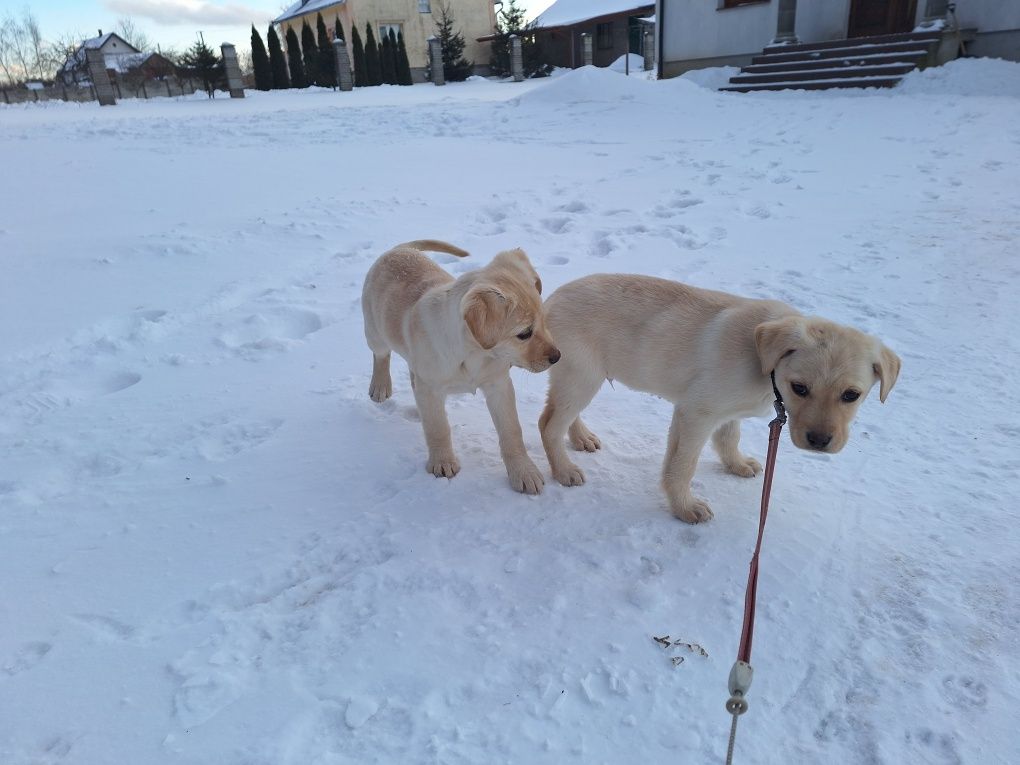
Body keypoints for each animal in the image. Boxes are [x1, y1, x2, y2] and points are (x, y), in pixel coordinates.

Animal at [363, 240, 563, 497]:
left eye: (543, 322)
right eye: (524, 334)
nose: (557, 357)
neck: (474, 353)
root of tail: (398, 249)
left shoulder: (499, 385)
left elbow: (512, 431)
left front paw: (523, 471)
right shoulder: (430, 389)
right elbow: (438, 427)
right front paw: (442, 461)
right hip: (374, 331)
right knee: (381, 355)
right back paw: (380, 386)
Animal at [538, 279, 897, 526]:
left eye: (851, 395)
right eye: (800, 388)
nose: (819, 442)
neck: (763, 364)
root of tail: (549, 301)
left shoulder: (726, 412)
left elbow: (728, 438)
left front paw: (736, 465)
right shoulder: (695, 412)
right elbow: (682, 466)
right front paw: (685, 508)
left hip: (582, 377)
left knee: (561, 412)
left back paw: (581, 438)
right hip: (582, 376)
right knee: (549, 423)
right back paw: (564, 470)